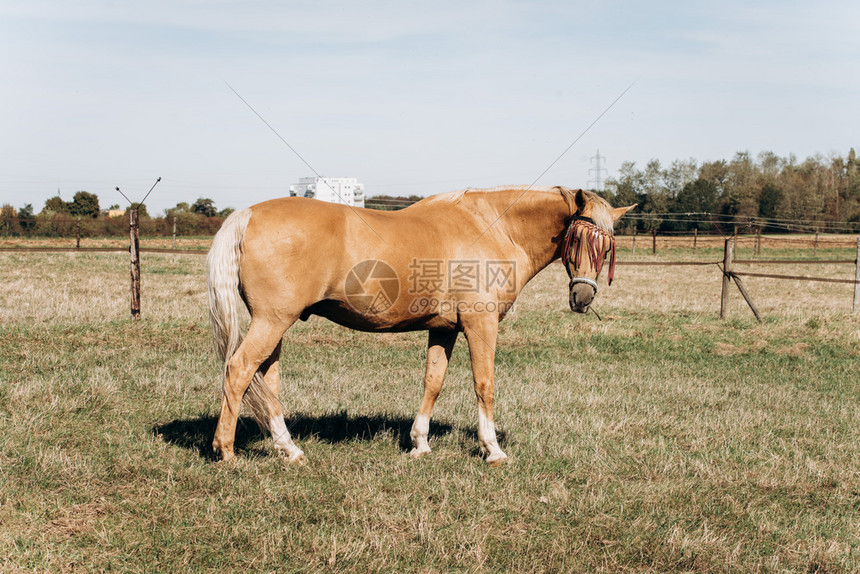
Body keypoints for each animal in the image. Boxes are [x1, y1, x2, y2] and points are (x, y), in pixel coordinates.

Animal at [207, 189, 640, 468]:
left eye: (607, 246)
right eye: (577, 238)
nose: (582, 297)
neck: (494, 227)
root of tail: (248, 214)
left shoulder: (444, 329)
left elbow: (433, 381)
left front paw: (419, 444)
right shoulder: (480, 324)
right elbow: (484, 383)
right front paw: (493, 449)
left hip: (276, 325)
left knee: (267, 382)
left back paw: (289, 450)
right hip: (271, 321)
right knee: (238, 371)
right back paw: (226, 451)